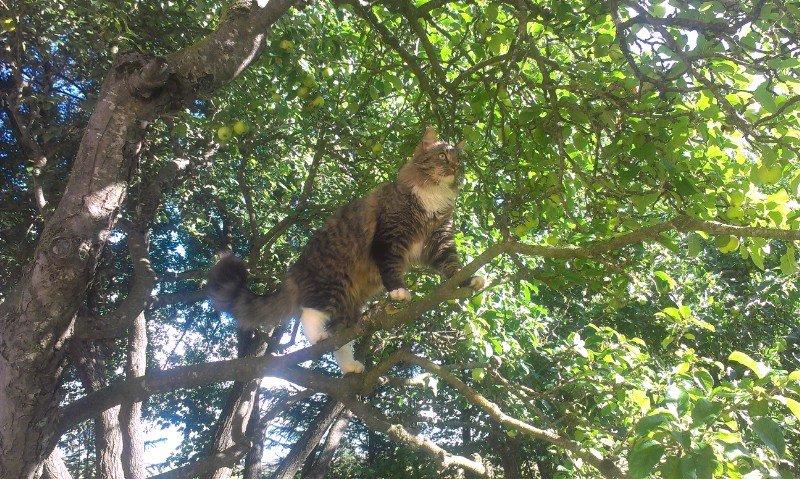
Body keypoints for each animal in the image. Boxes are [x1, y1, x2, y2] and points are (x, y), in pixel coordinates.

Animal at [206, 125, 484, 374]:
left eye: (460, 161)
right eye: (443, 156)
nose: (455, 168)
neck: (432, 197)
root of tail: (295, 271)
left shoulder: (439, 242)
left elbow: (452, 266)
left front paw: (468, 280)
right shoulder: (389, 238)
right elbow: (391, 268)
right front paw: (398, 290)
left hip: (348, 306)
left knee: (341, 339)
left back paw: (350, 366)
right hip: (332, 282)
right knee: (310, 313)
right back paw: (317, 337)